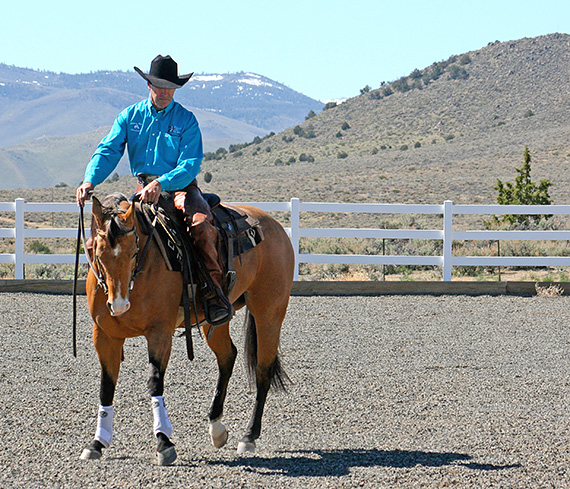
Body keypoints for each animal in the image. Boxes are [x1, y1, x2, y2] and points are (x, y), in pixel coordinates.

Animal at [79, 193, 292, 464]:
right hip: (215, 321)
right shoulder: (105, 335)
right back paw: (216, 428)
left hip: (269, 313)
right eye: (97, 251)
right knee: (228, 356)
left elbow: (154, 382)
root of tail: (273, 225)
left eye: (134, 251)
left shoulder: (159, 332)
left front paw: (163, 442)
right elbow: (106, 387)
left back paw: (249, 437)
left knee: (263, 371)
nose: (118, 305)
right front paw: (97, 443)